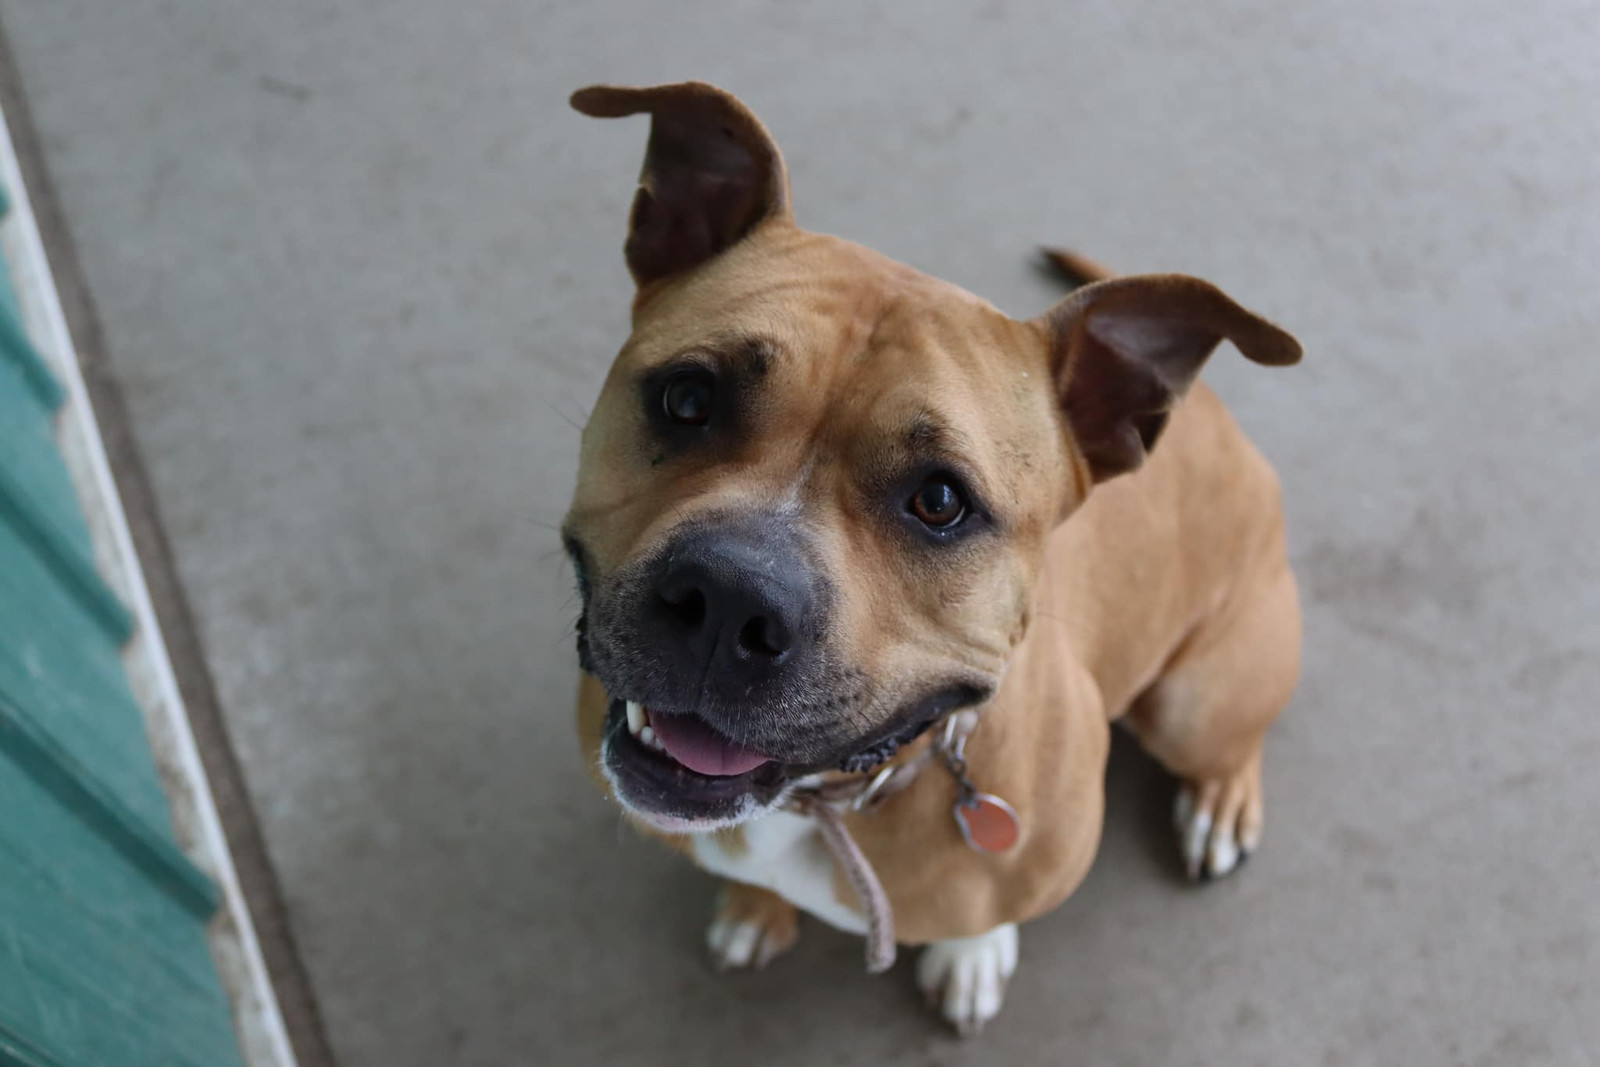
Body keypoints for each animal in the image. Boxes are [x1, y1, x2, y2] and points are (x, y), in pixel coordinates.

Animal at [563, 81, 1299, 1036]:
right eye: (687, 396)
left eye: (941, 501)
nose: (729, 599)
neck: (832, 798)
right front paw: (757, 909)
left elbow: (987, 913)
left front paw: (972, 952)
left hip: (1196, 700)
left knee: (1228, 737)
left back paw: (1220, 799)